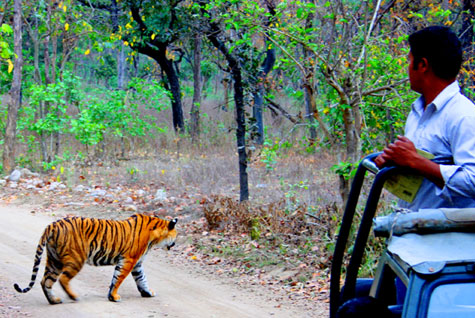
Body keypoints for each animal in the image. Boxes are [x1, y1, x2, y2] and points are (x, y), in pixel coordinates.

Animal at [15, 212, 178, 304]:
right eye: (176, 235)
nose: (175, 243)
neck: (154, 238)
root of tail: (53, 225)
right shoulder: (129, 260)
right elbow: (118, 279)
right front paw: (114, 297)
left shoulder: (137, 264)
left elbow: (141, 279)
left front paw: (147, 293)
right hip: (76, 259)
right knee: (63, 279)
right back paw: (73, 297)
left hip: (54, 260)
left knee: (46, 281)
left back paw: (54, 300)